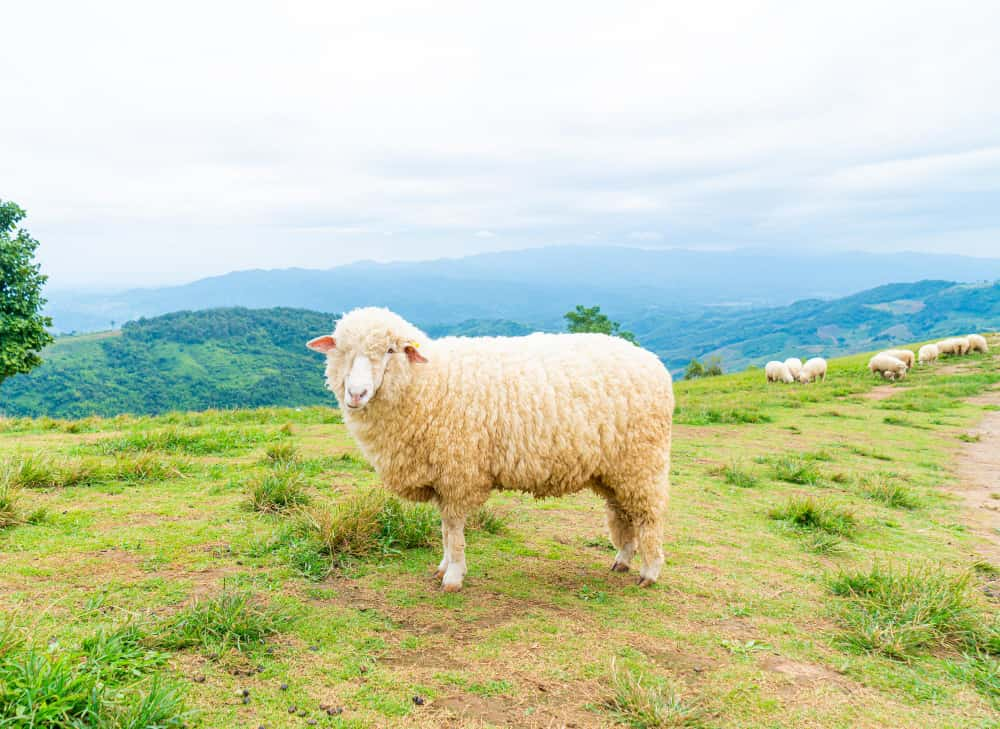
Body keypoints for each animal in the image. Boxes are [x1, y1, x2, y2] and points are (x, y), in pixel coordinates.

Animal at [308, 308, 676, 592]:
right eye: (340, 349)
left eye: (390, 350)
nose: (356, 393)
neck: (427, 382)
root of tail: (652, 360)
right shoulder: (442, 475)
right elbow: (444, 528)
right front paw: (443, 566)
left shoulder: (458, 471)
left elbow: (454, 528)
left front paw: (453, 576)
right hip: (614, 470)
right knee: (623, 513)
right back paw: (623, 560)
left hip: (643, 462)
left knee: (649, 516)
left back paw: (650, 572)